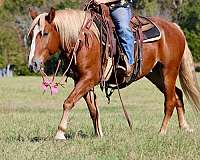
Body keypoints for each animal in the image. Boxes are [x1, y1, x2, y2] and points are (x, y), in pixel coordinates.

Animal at [27, 7, 200, 140]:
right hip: (155, 74)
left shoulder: (89, 78)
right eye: (31, 35)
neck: (82, 40)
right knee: (177, 95)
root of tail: (175, 28)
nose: (32, 64)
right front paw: (99, 133)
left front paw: (60, 133)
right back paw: (185, 127)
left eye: (44, 33)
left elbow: (68, 102)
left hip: (169, 71)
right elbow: (93, 109)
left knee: (169, 101)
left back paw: (162, 131)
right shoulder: (81, 81)